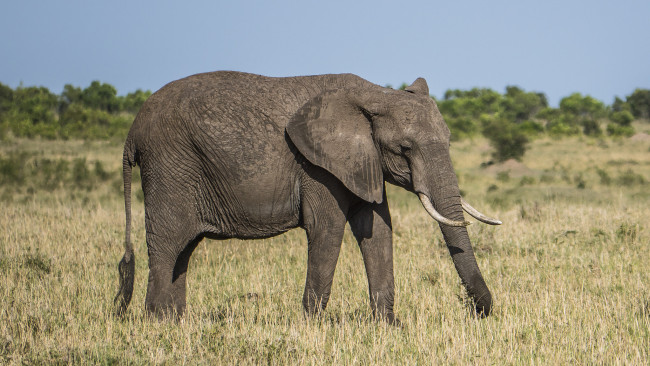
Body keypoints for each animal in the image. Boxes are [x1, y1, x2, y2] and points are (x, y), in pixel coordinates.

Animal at [114, 70, 502, 324]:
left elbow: (378, 229)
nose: (477, 312)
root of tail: (132, 131)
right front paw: (311, 327)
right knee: (167, 243)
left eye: (449, 141)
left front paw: (389, 327)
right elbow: (327, 231)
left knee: (185, 248)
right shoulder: (317, 167)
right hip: (169, 167)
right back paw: (157, 325)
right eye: (404, 148)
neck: (375, 94)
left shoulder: (363, 161)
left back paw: (176, 322)